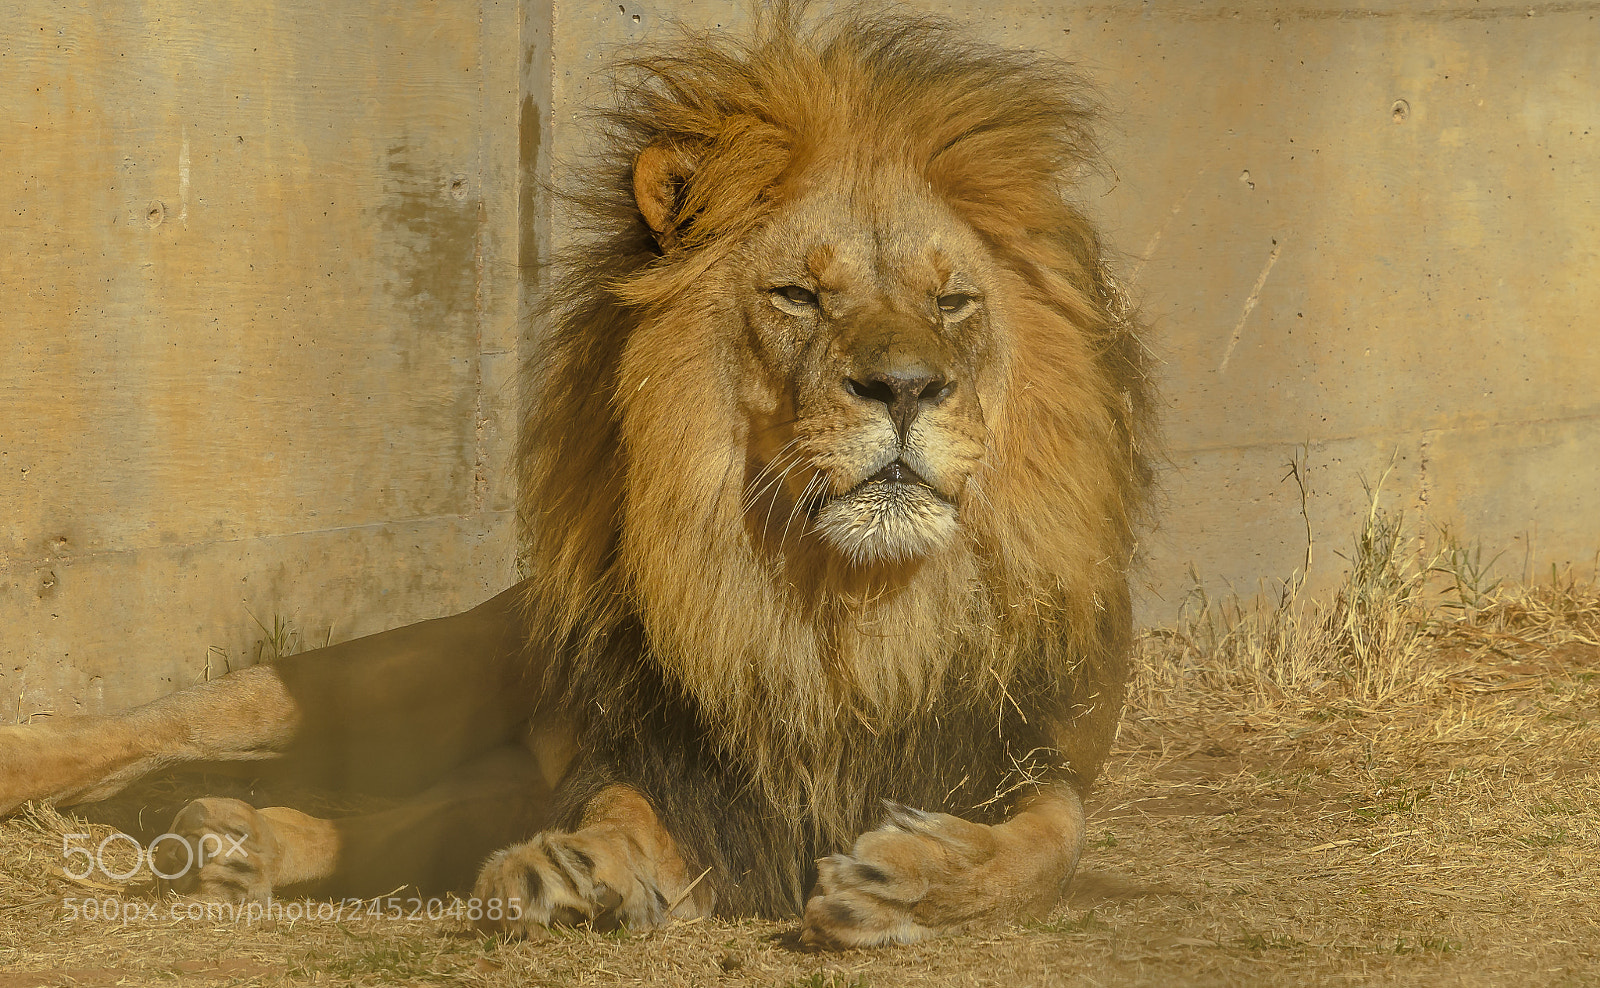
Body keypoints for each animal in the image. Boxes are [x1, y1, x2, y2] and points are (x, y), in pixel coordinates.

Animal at [0, 6, 1152, 948]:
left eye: (952, 301)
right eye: (796, 295)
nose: (906, 386)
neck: (841, 612)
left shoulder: (1034, 750)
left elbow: (1052, 840)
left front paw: (914, 877)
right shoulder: (654, 756)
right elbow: (616, 809)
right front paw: (580, 870)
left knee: (404, 816)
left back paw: (233, 844)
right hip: (426, 673)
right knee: (203, 713)